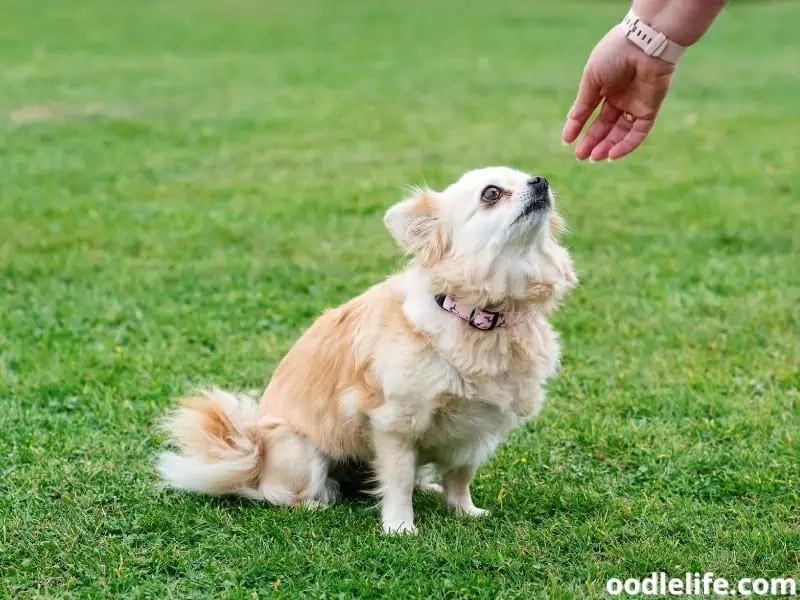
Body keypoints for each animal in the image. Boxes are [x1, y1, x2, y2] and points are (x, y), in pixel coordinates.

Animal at [158, 166, 576, 532]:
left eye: (528, 177)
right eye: (491, 194)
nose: (541, 181)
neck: (482, 318)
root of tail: (254, 458)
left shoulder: (476, 429)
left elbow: (461, 475)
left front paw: (464, 511)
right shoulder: (394, 424)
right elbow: (398, 479)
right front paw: (400, 526)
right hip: (301, 450)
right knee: (279, 495)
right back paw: (317, 502)